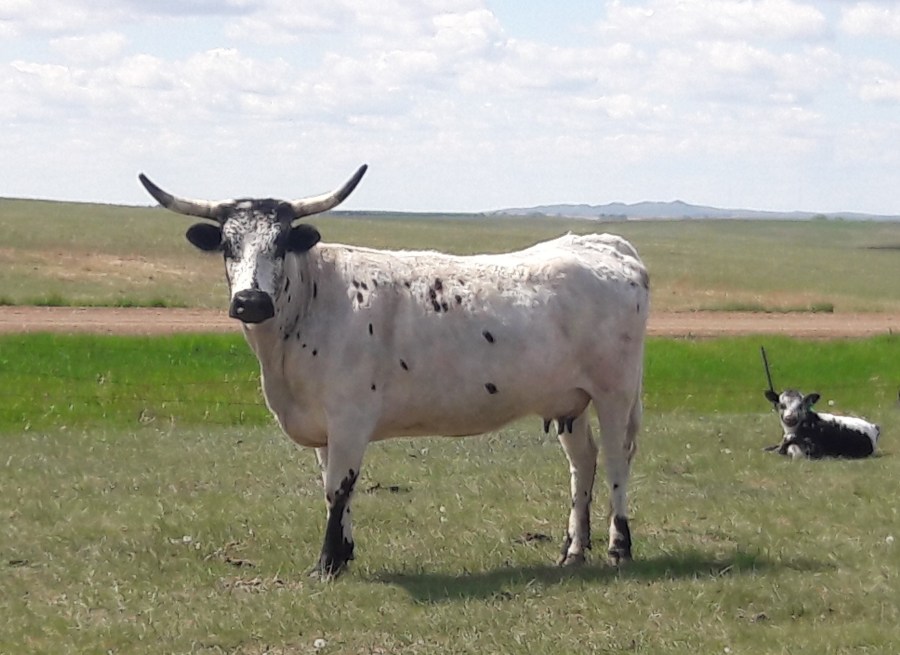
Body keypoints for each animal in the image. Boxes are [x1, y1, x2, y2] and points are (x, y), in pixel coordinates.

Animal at [138, 164, 650, 578]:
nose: (250, 301)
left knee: (616, 460)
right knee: (583, 462)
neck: (311, 303)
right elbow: (332, 487)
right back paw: (573, 551)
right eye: (227, 245)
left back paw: (619, 547)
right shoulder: (324, 428)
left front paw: (327, 563)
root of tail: (606, 244)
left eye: (281, 243)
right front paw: (343, 553)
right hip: (571, 401)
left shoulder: (349, 419)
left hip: (615, 392)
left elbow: (338, 488)